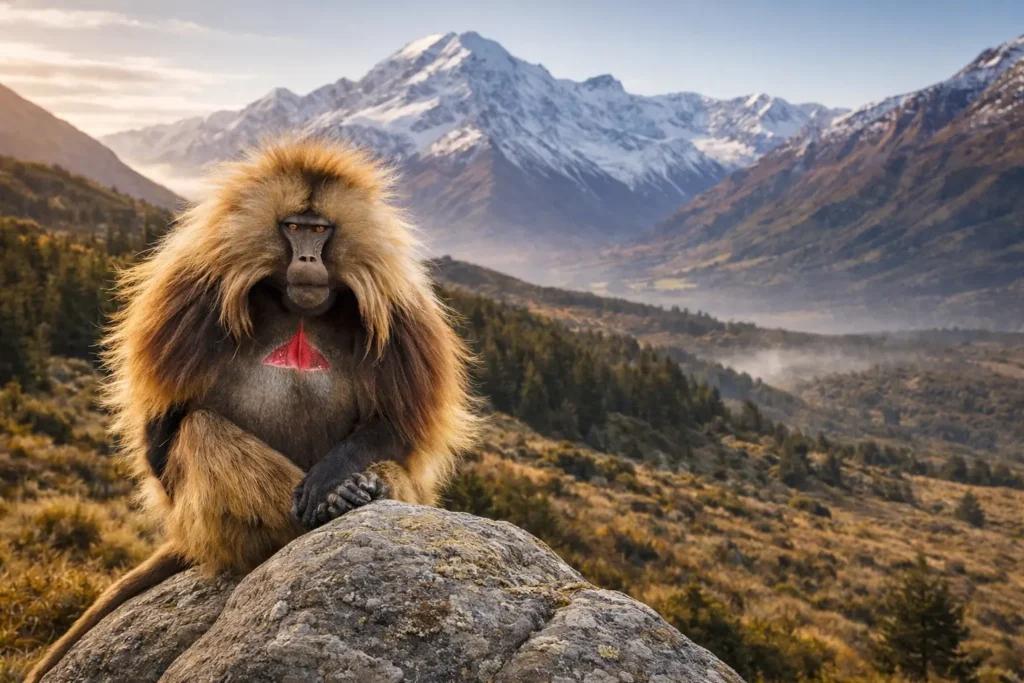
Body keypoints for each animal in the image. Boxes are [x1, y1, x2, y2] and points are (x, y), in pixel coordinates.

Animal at [26, 138, 478, 682]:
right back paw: (330, 505)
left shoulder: (400, 314)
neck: (300, 309)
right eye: (293, 227)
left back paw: (357, 490)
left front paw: (334, 476)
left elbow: (398, 425)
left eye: (320, 230)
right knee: (200, 432)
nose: (306, 257)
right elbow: (163, 424)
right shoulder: (192, 297)